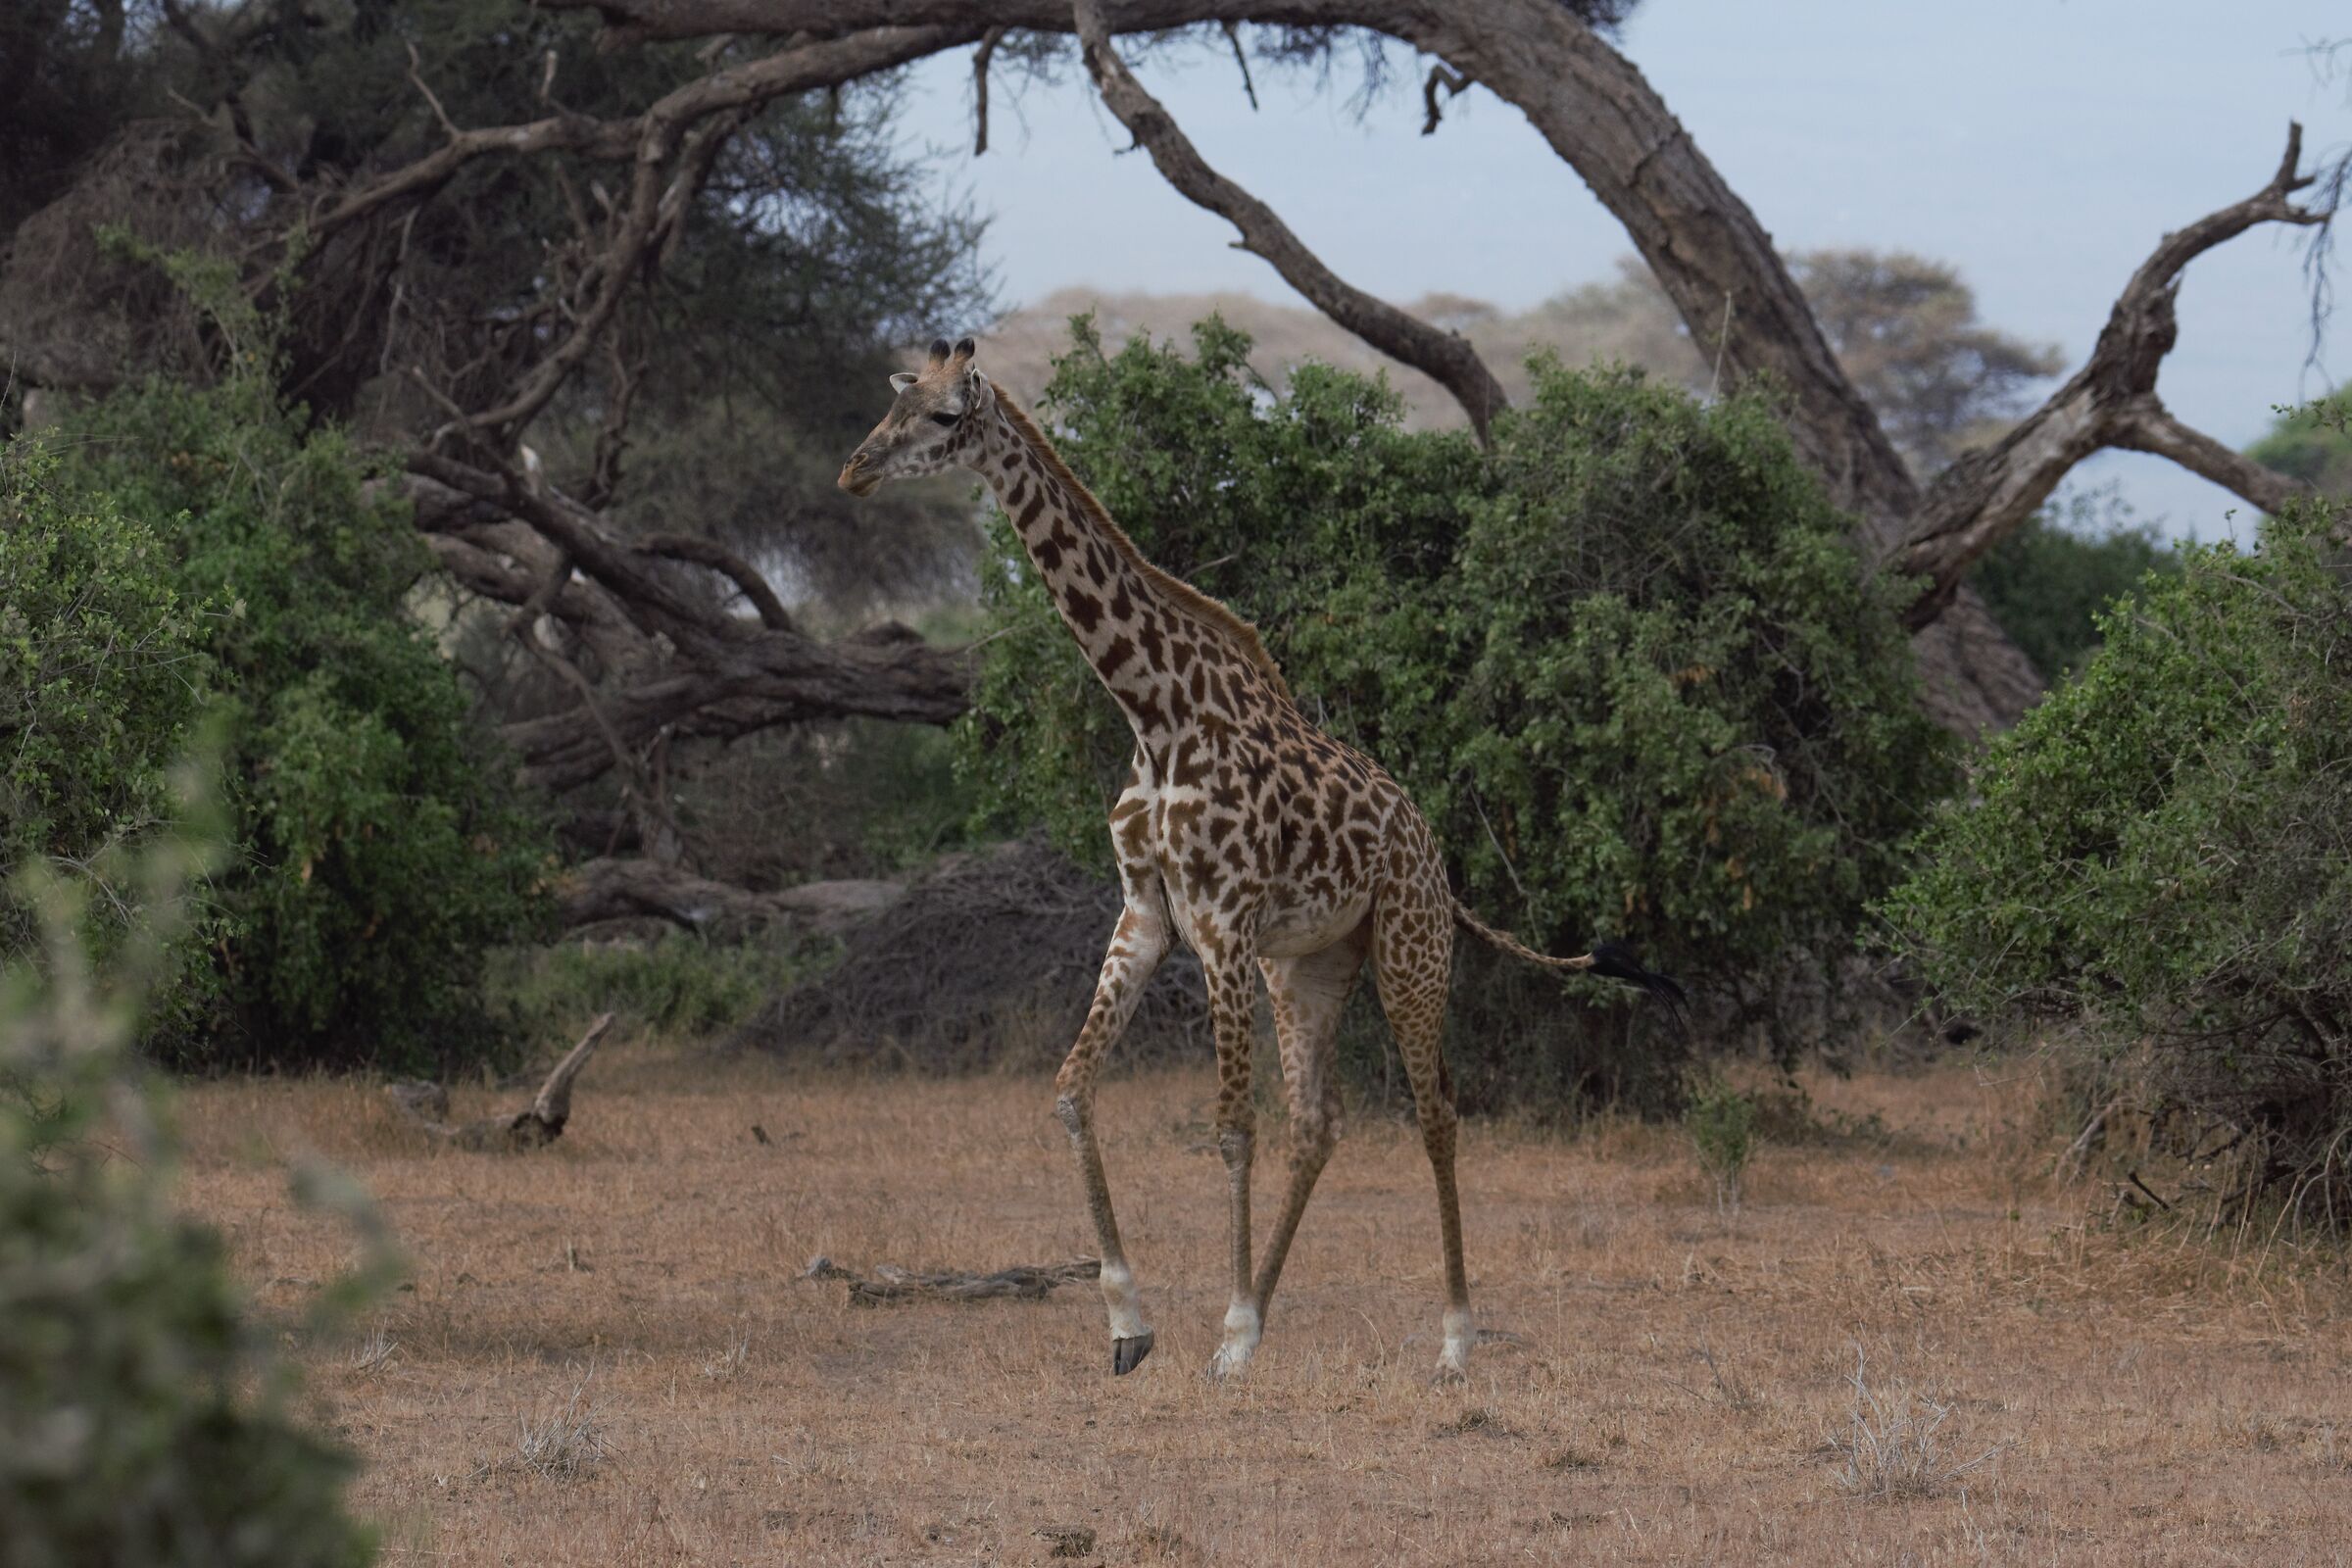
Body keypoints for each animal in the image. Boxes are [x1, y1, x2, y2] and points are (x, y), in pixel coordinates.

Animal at [838, 337, 1683, 1382]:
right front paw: (1134, 1324)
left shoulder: (1222, 925)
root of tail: (1431, 853)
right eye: (896, 402)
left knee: (1435, 1111)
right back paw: (1273, 1316)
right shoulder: (1146, 914)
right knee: (1318, 1124)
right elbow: (1073, 1092)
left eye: (947, 417)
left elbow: (1230, 1127)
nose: (855, 470)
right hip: (1309, 968)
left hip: (1409, 952)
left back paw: (1451, 1339)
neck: (1155, 713)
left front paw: (1228, 1326)